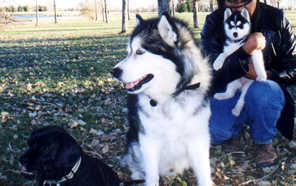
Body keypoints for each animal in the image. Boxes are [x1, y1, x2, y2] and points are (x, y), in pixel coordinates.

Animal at [110, 13, 210, 186]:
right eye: (129, 51)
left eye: (140, 51)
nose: (114, 72)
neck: (169, 96)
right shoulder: (148, 141)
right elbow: (151, 176)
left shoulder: (198, 139)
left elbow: (204, 175)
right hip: (134, 141)